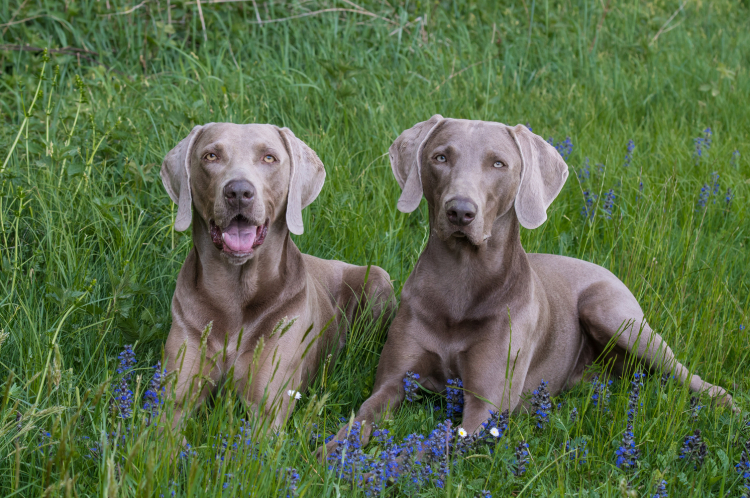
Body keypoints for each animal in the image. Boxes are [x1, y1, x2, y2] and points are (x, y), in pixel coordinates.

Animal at [159, 122, 394, 430]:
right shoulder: (173, 401)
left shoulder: (267, 409)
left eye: (269, 158)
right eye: (211, 156)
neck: (236, 293)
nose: (238, 192)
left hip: (377, 278)